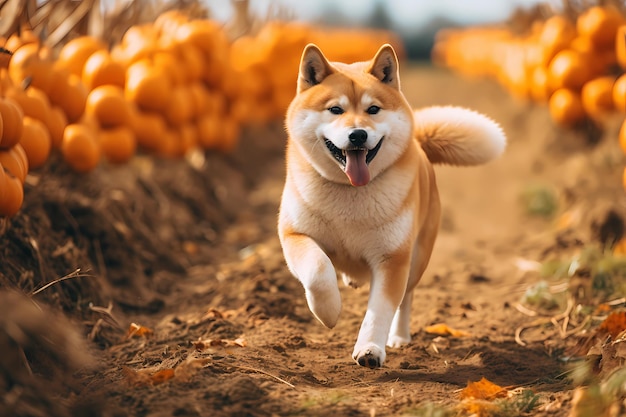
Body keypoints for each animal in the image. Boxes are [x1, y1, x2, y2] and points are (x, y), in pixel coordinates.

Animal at [276, 43, 504, 368]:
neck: (351, 192)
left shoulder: (392, 258)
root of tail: (418, 144)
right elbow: (319, 271)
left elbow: (381, 309)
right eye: (335, 109)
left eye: (373, 109)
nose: (358, 134)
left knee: (405, 299)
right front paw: (328, 312)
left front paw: (370, 349)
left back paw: (399, 337)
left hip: (417, 258)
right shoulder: (295, 235)